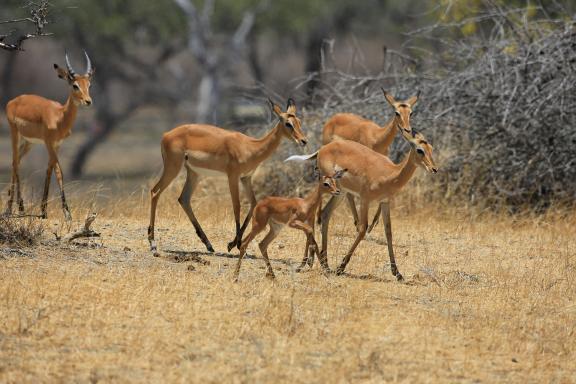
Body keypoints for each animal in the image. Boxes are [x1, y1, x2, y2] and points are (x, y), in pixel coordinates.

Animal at [3, 51, 94, 220]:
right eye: (75, 85)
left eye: (89, 85)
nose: (88, 101)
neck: (59, 116)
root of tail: (12, 101)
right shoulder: (48, 143)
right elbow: (59, 172)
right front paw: (67, 213)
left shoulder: (57, 144)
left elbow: (49, 170)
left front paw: (44, 210)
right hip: (14, 134)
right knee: (15, 162)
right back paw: (13, 209)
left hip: (28, 142)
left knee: (15, 162)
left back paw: (17, 207)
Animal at [151, 99, 308, 256]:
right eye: (288, 123)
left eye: (299, 121)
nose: (304, 141)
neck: (251, 147)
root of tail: (166, 135)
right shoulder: (233, 176)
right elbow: (237, 206)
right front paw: (234, 245)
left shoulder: (246, 178)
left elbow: (253, 203)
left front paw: (235, 244)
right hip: (173, 168)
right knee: (155, 192)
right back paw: (153, 245)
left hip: (194, 174)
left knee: (183, 199)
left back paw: (209, 245)